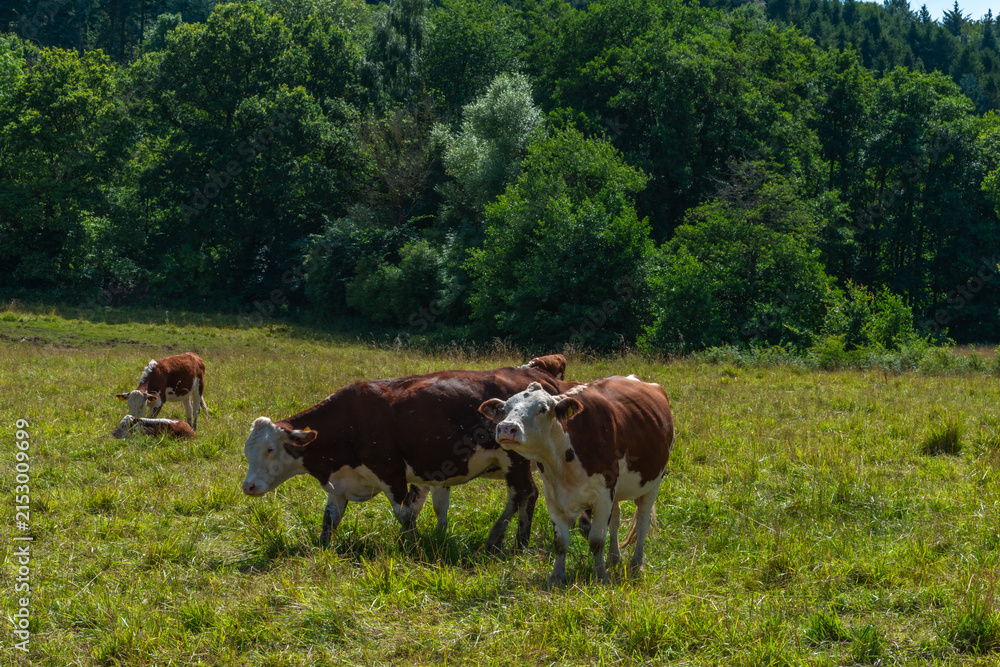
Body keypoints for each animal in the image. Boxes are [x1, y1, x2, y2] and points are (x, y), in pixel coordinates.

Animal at [241, 365, 577, 552]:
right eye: (247, 451)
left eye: (270, 449)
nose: (248, 486)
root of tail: (535, 376)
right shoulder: (339, 483)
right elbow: (330, 520)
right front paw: (322, 549)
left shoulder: (391, 472)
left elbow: (405, 514)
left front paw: (411, 547)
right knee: (521, 495)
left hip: (515, 460)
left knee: (525, 494)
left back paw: (513, 543)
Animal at [479, 377, 674, 584]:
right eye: (506, 409)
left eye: (542, 408)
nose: (506, 428)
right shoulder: (553, 495)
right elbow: (560, 541)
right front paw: (556, 577)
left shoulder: (603, 495)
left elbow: (597, 540)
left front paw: (600, 577)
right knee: (616, 520)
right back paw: (614, 559)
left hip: (654, 483)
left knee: (643, 521)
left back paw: (637, 565)